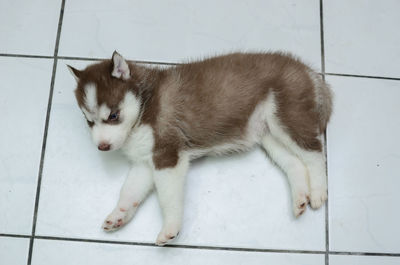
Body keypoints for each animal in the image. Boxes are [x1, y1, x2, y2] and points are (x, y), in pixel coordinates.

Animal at [68, 51, 332, 245]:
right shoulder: (146, 161)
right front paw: (119, 215)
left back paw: (318, 192)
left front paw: (170, 228)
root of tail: (306, 69)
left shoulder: (168, 156)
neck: (145, 104)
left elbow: (167, 197)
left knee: (315, 154)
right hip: (269, 134)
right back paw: (300, 199)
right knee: (295, 163)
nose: (102, 146)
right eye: (89, 121)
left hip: (287, 116)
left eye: (113, 115)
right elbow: (129, 191)